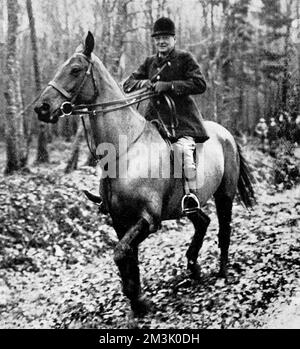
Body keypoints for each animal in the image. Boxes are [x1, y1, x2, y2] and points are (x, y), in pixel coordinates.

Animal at [35, 32, 255, 316]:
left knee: (224, 229)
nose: (42, 108)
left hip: (225, 195)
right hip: (189, 205)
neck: (126, 149)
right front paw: (137, 300)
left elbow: (121, 254)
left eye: (74, 69)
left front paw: (139, 300)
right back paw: (193, 267)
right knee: (202, 222)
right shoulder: (120, 220)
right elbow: (128, 257)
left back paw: (222, 272)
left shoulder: (148, 219)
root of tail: (226, 133)